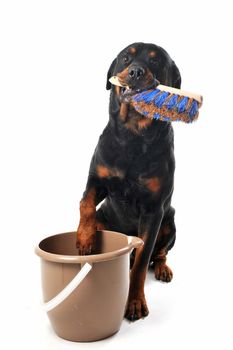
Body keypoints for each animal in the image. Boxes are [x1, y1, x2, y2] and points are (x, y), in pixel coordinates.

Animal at [75, 42, 181, 322]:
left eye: (155, 61)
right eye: (126, 58)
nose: (135, 71)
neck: (133, 134)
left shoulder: (154, 210)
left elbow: (142, 262)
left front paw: (134, 302)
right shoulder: (97, 180)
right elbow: (85, 203)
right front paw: (84, 239)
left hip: (170, 222)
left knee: (159, 254)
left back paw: (163, 268)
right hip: (105, 219)